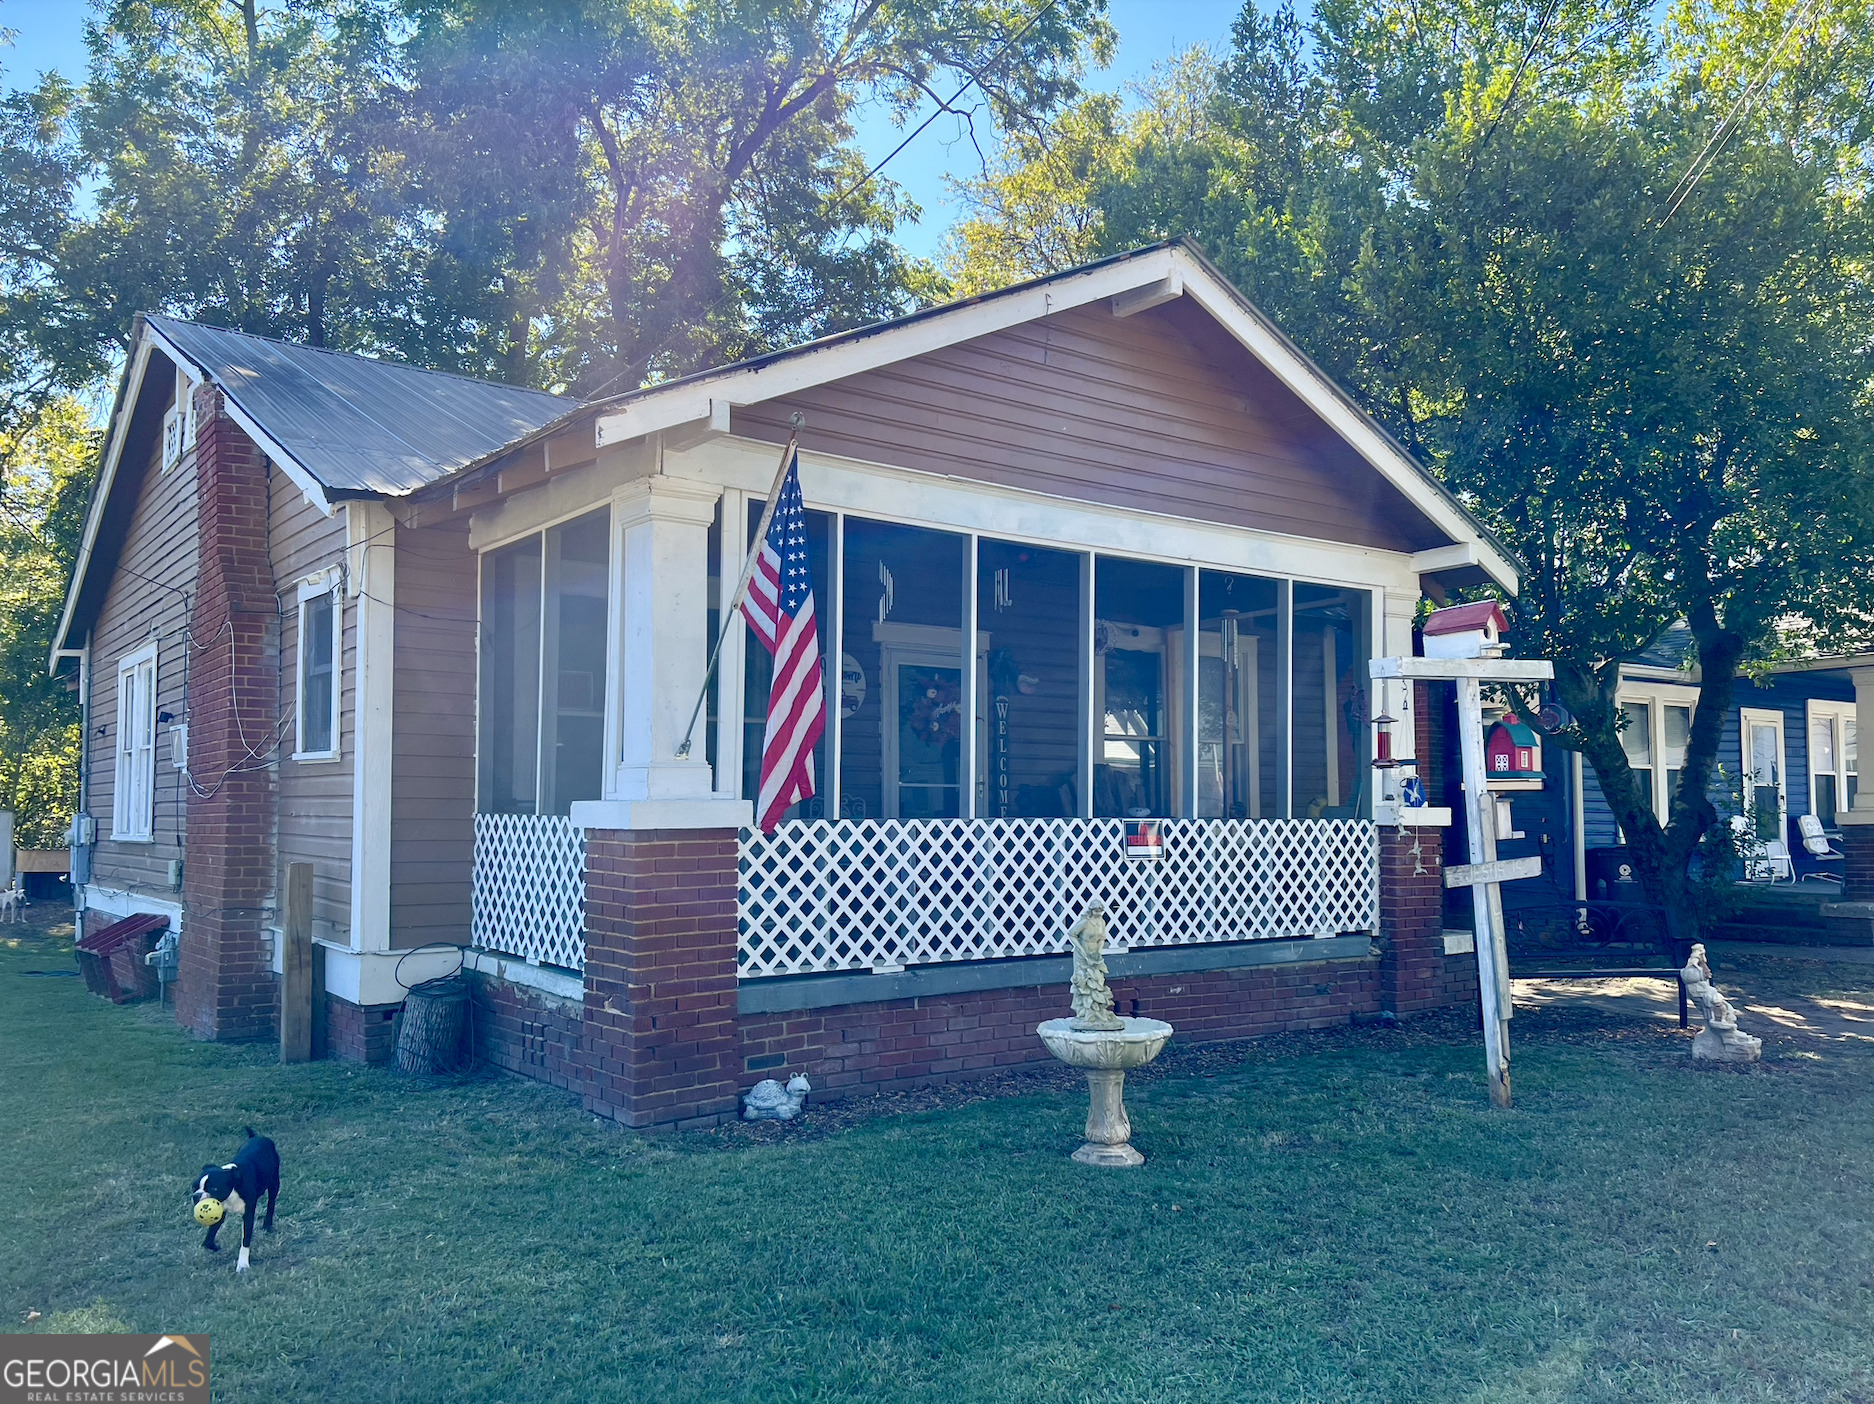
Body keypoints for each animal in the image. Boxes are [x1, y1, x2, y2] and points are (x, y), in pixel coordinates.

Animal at [190, 1124, 277, 1267]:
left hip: (274, 1183)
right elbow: (209, 1237)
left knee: (271, 1202)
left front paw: (242, 1264)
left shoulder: (248, 1215)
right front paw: (214, 1247)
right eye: (194, 1186)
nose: (196, 1195)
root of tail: (257, 1137)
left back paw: (267, 1225)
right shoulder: (219, 1213)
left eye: (214, 1188)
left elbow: (245, 1241)